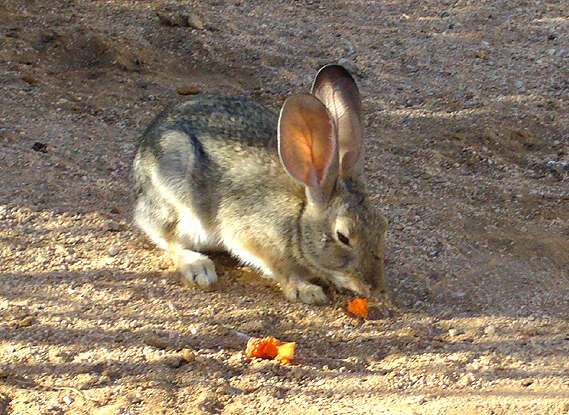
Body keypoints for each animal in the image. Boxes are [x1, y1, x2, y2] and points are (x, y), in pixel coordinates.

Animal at [131, 66, 388, 306]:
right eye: (343, 236)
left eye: (383, 226)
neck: (299, 218)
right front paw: (306, 291)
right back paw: (198, 267)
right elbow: (280, 269)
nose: (375, 287)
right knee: (168, 238)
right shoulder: (253, 238)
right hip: (177, 200)